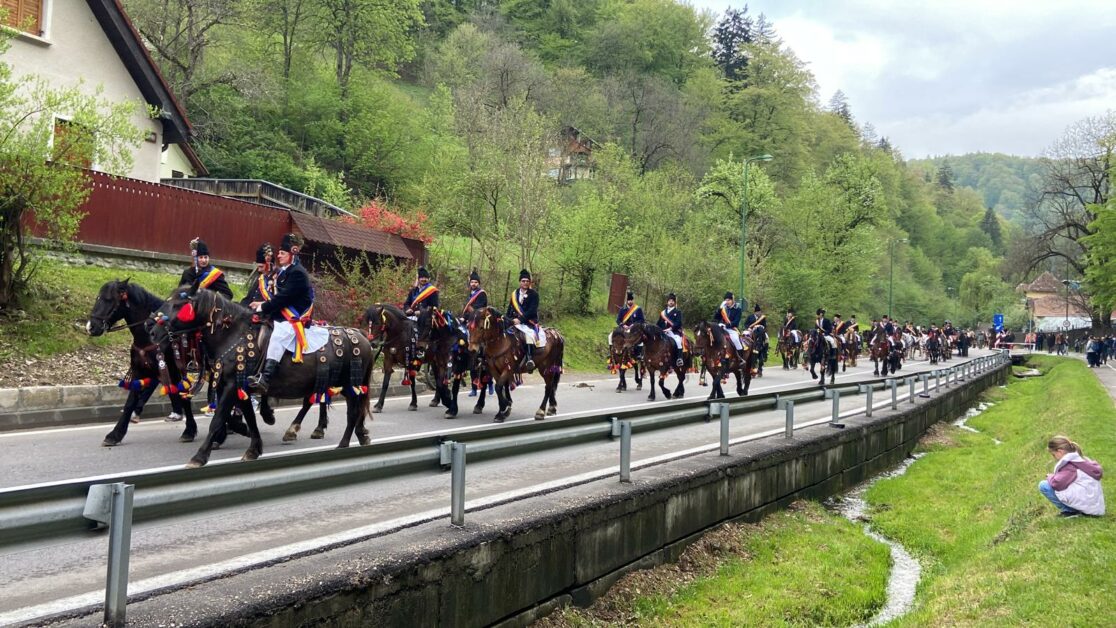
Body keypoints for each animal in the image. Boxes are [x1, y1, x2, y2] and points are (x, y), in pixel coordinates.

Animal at [88, 279, 205, 446]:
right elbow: (130, 402)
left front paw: (189, 430)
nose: (91, 327)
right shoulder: (140, 370)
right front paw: (116, 434)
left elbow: (183, 396)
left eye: (109, 299)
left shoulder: (174, 369)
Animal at [158, 287, 372, 467]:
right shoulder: (240, 388)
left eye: (178, 305)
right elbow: (250, 419)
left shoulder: (230, 387)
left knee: (351, 412)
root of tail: (361, 336)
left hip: (350, 385)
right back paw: (358, 436)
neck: (233, 334)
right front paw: (253, 449)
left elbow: (218, 420)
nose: (153, 330)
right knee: (347, 410)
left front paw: (199, 456)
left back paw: (342, 443)